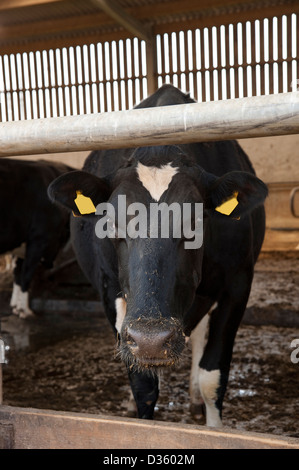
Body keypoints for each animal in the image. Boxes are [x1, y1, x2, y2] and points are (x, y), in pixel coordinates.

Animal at [0, 159, 73, 320]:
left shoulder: (22, 243)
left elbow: (18, 273)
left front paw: (16, 307)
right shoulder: (39, 238)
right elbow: (26, 274)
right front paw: (24, 310)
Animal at [48, 84, 268, 426]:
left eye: (196, 222)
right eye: (110, 222)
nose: (152, 337)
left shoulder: (238, 281)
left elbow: (212, 376)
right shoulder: (109, 290)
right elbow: (143, 383)